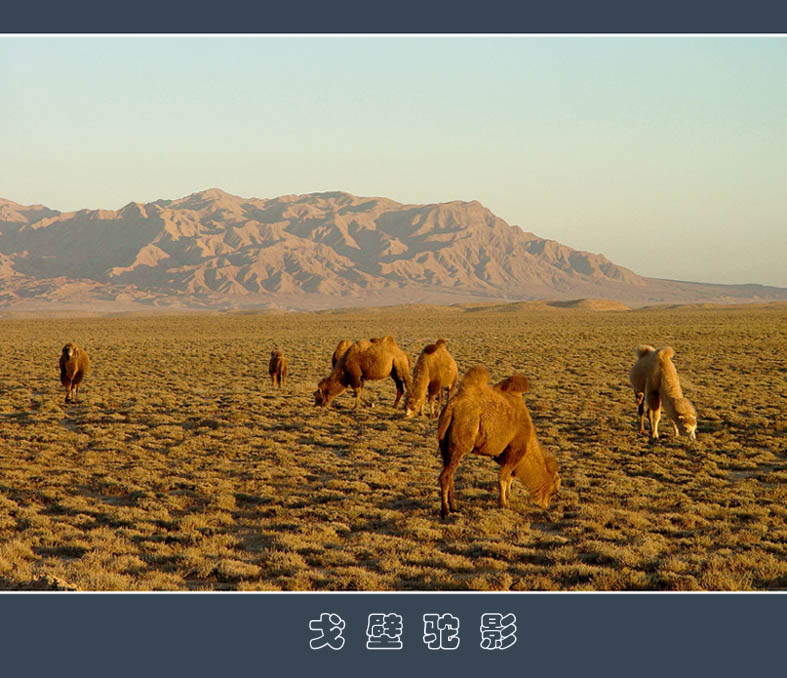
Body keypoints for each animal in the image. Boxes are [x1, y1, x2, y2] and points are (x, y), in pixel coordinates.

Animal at [438, 366, 560, 520]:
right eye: (554, 491)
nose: (546, 505)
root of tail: (451, 408)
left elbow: (509, 478)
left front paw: (508, 497)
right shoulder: (513, 452)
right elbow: (503, 479)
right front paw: (503, 504)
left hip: (444, 447)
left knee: (451, 476)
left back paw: (454, 508)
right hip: (459, 446)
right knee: (445, 476)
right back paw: (445, 511)